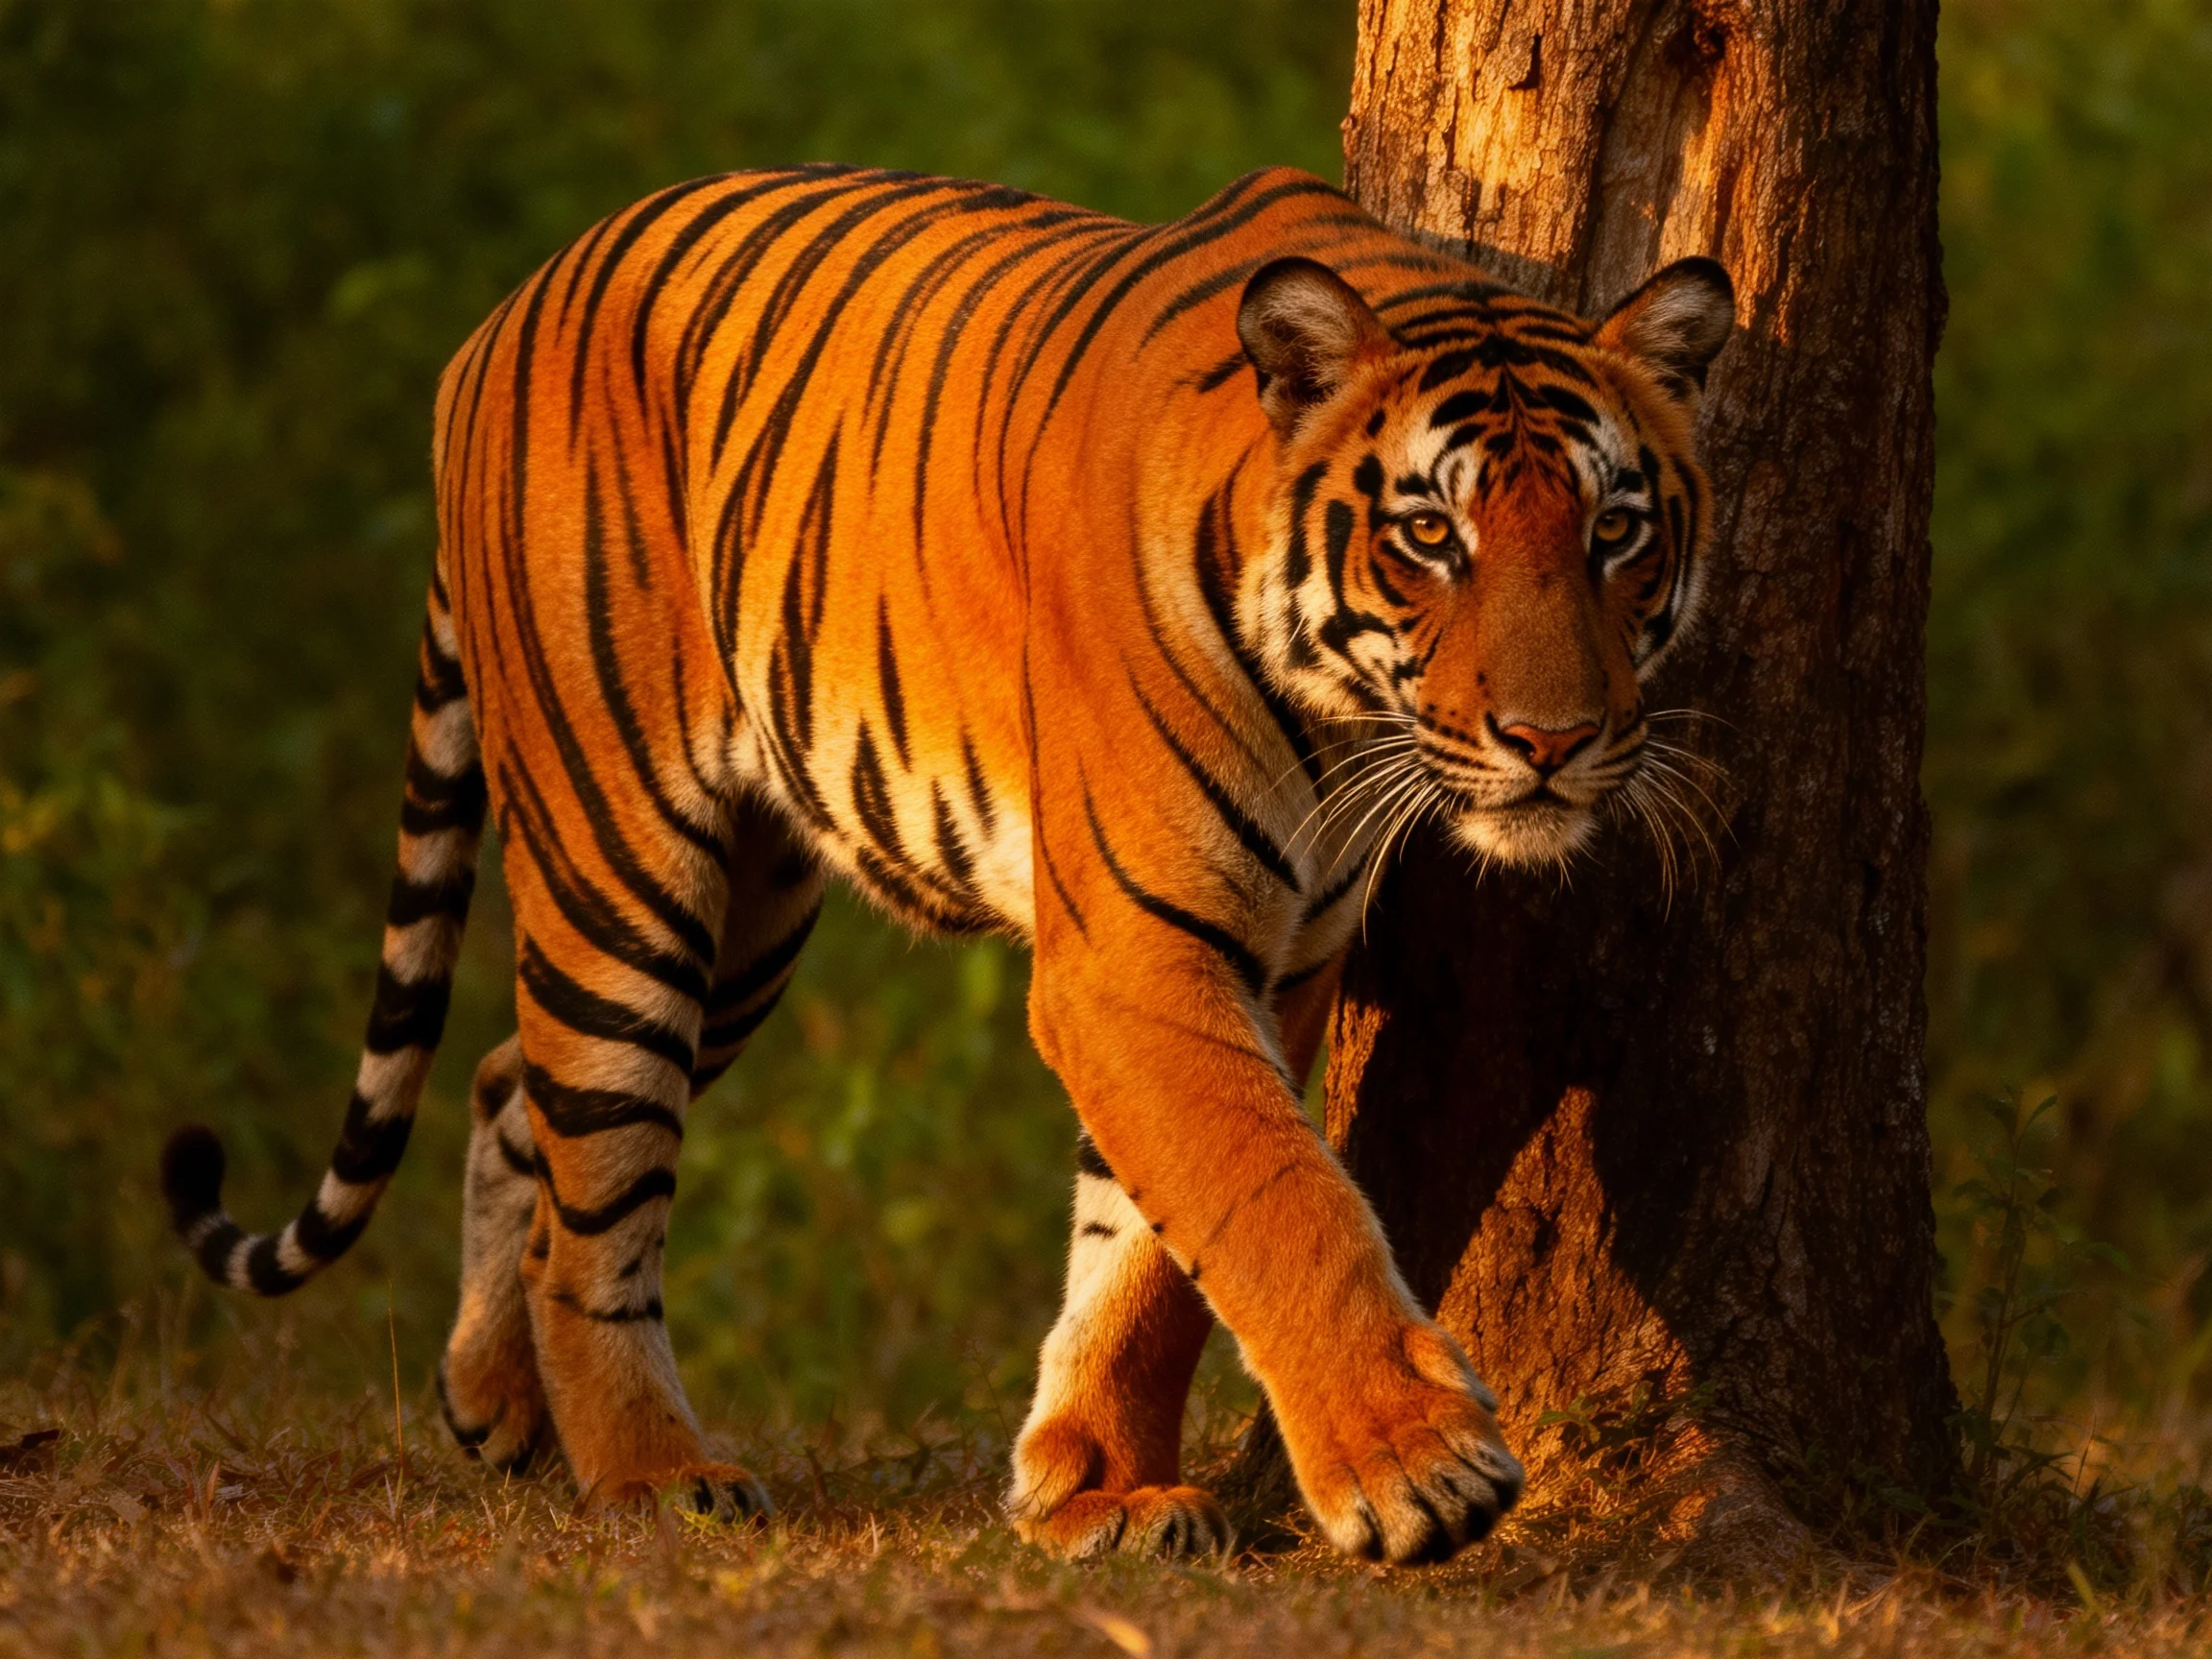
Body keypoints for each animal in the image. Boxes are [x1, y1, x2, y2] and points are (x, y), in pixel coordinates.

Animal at [161, 163, 1732, 1565]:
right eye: (1428, 536)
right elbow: (1277, 1201)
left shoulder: (1271, 961)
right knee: (595, 1185)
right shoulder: (1137, 956)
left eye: (1615, 531)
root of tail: (497, 321)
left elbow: (1149, 1247)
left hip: (751, 917)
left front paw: (1094, 1488)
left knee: (511, 1089)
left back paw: (494, 1406)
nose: (1553, 741)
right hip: (626, 860)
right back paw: (652, 1476)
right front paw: (1417, 1473)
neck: (1347, 724)